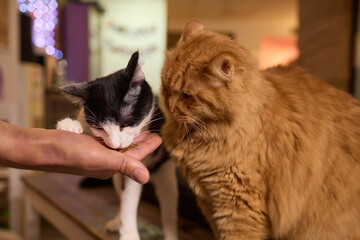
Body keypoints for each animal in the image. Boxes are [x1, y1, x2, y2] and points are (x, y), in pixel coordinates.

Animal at [56, 52, 179, 240]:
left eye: (125, 124)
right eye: (99, 128)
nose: (115, 145)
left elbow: (130, 198)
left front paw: (129, 234)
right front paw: (69, 125)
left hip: (166, 173)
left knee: (168, 207)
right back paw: (116, 222)